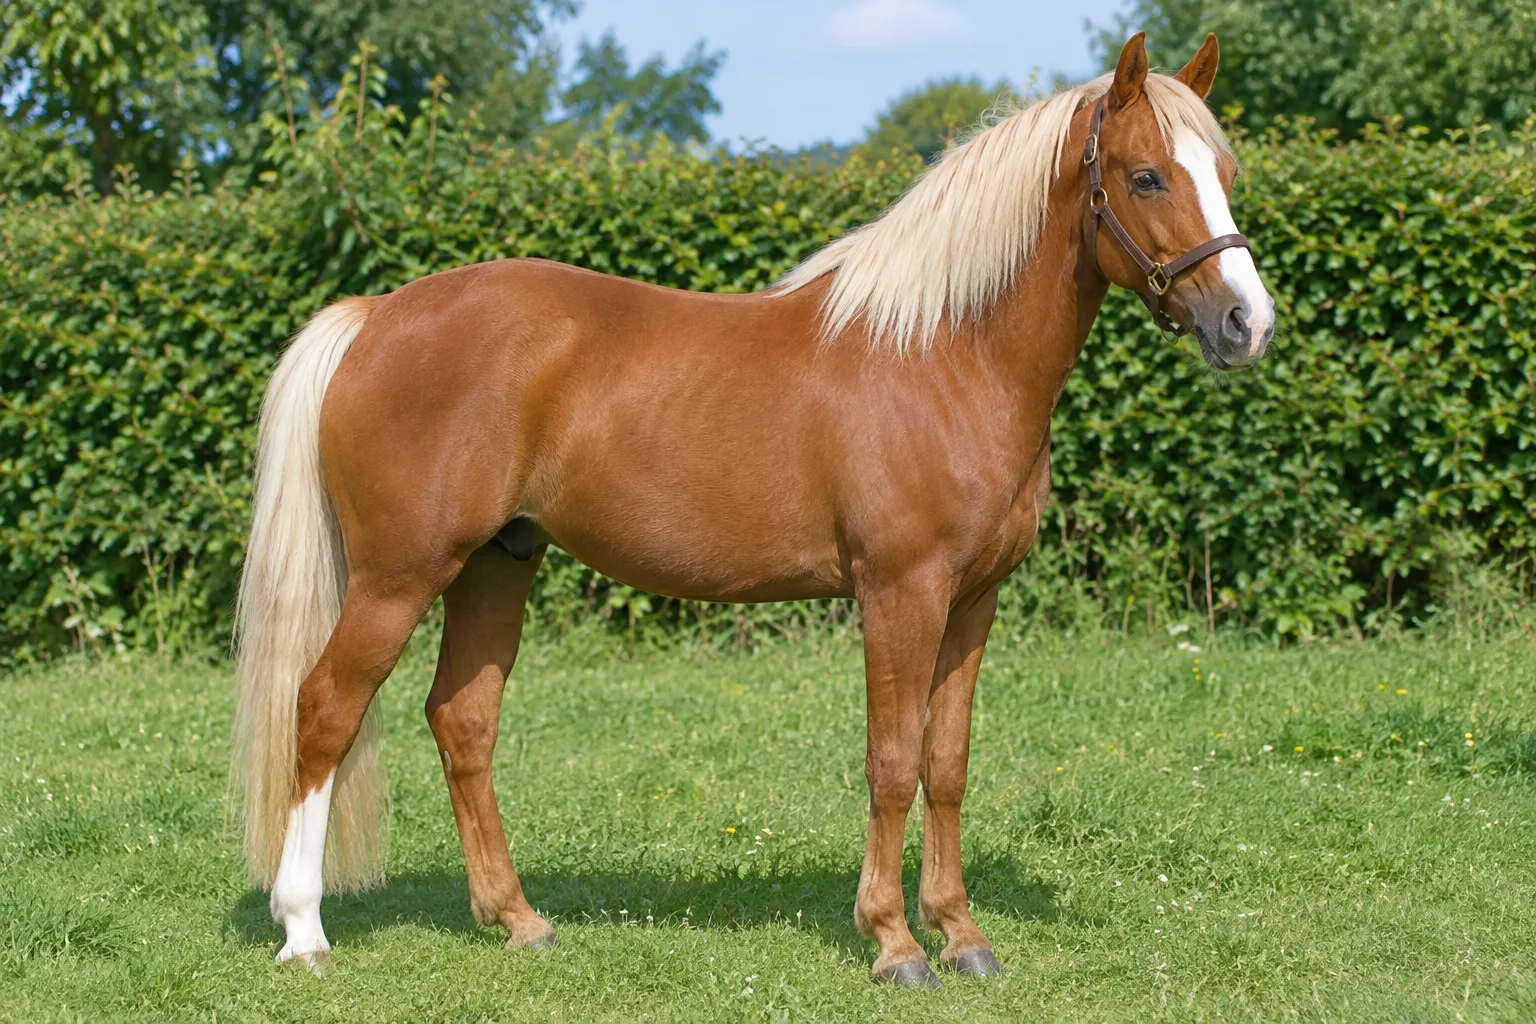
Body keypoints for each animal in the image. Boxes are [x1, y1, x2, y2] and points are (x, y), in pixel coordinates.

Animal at [233, 31, 1274, 986]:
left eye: (1225, 174)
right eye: (1146, 177)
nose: (1247, 324)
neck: (944, 355)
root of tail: (374, 315)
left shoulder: (972, 602)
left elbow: (947, 763)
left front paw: (963, 935)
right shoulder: (900, 594)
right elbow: (891, 760)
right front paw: (895, 944)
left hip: (497, 563)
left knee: (463, 723)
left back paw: (518, 920)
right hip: (399, 577)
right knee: (324, 709)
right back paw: (304, 931)